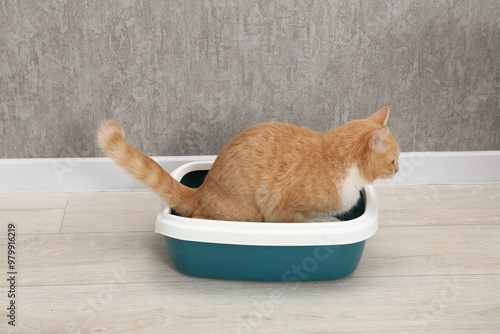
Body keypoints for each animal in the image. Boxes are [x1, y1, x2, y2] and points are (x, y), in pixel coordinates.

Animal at [97, 107, 400, 222]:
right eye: (394, 160)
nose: (399, 170)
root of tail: (201, 191)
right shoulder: (285, 213)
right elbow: (313, 219)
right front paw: (326, 221)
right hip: (245, 215)